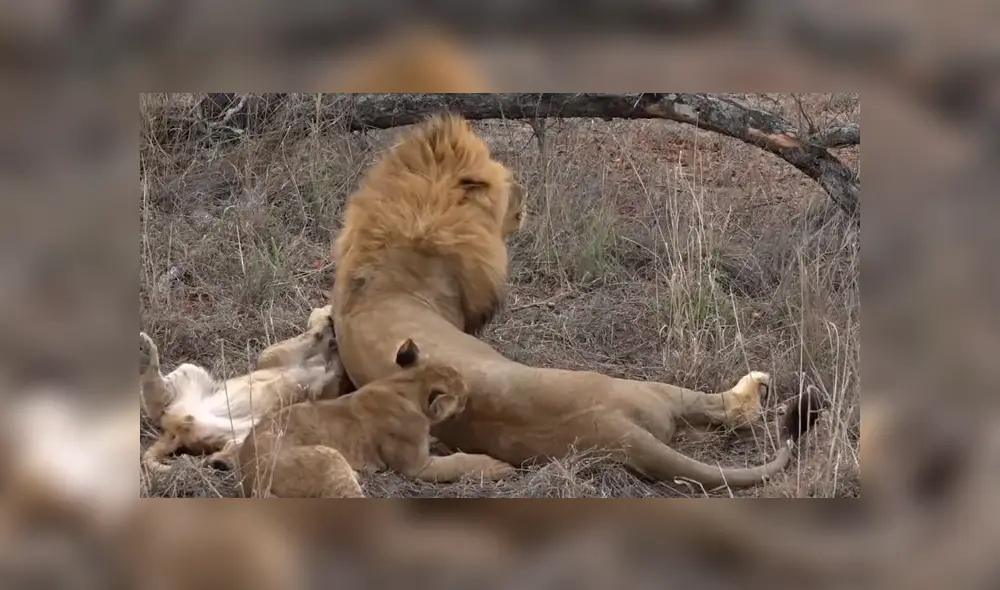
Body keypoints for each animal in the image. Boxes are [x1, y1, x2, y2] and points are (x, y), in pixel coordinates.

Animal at [139, 305, 340, 473]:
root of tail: (174, 431)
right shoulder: (281, 359)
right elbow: (274, 351)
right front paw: (325, 317)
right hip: (189, 372)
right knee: (158, 400)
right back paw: (144, 351)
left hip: (256, 432)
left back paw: (219, 462)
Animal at [237, 338, 514, 498]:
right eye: (463, 393)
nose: (469, 397)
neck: (406, 385)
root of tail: (252, 477)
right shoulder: (416, 467)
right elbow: (459, 463)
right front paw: (497, 466)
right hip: (329, 459)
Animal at [331, 113, 827, 491]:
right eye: (509, 184)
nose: (527, 192)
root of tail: (611, 431)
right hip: (646, 389)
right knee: (727, 408)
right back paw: (754, 387)